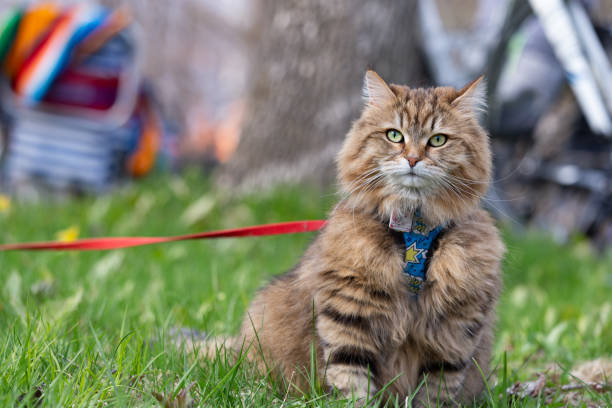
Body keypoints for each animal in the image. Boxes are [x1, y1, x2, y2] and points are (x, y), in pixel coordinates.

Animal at [204, 70, 502, 404]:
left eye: (438, 140)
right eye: (394, 135)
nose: (413, 159)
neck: (414, 233)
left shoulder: (453, 336)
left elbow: (433, 394)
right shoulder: (349, 316)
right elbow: (353, 384)